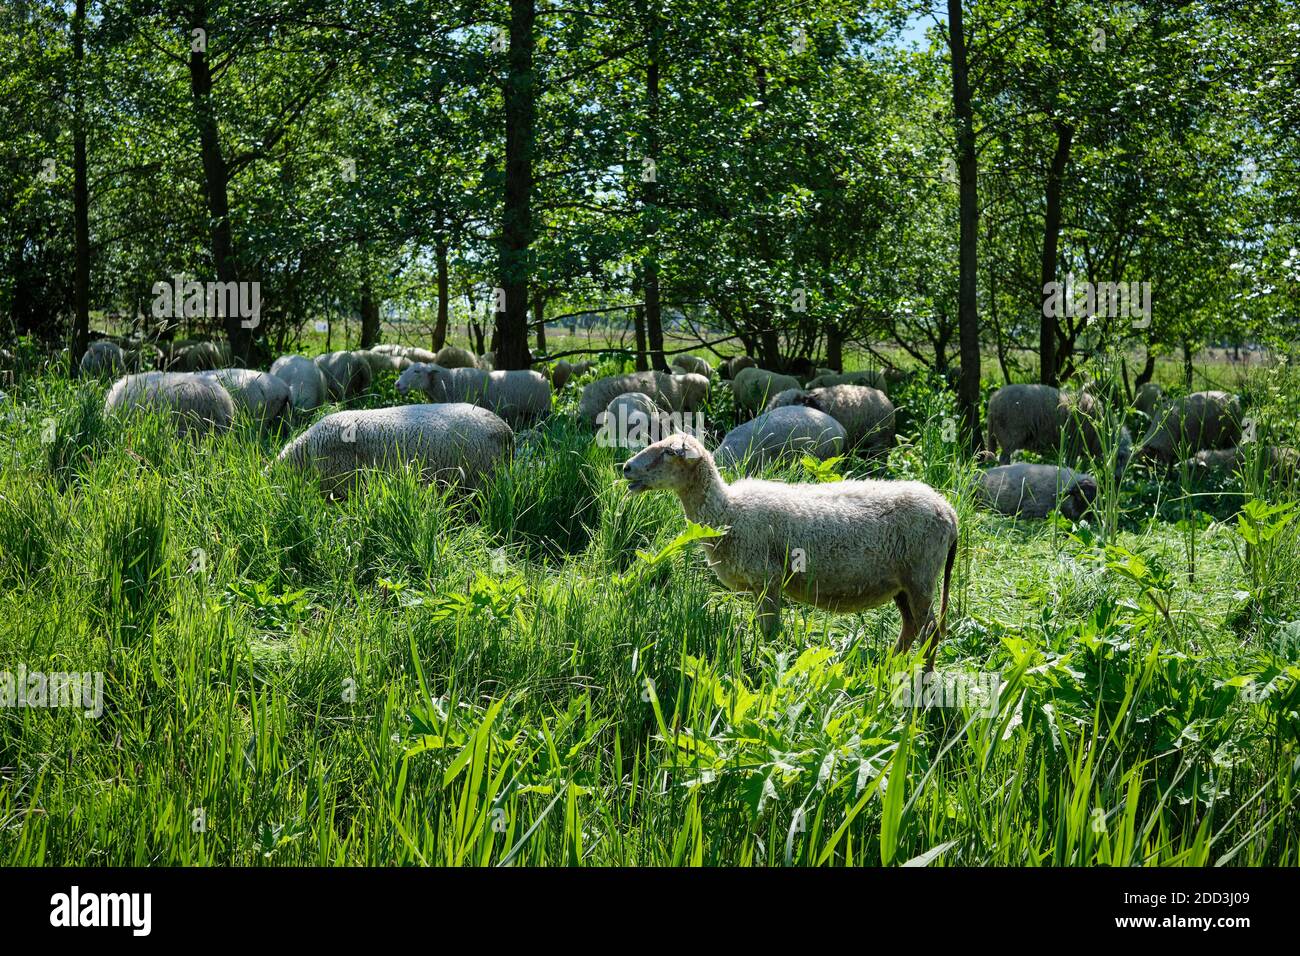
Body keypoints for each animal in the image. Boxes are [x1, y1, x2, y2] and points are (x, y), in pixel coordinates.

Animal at [622, 432, 959, 664]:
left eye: (668, 452)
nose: (625, 468)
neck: (728, 512)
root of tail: (948, 510)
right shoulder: (759, 586)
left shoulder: (767, 579)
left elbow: (771, 632)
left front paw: (769, 663)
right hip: (903, 583)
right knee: (912, 628)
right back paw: (890, 667)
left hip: (921, 576)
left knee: (930, 632)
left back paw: (920, 681)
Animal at [986, 383, 1131, 472]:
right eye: (1120, 458)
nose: (1117, 480)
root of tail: (993, 401)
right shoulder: (1074, 444)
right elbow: (1071, 463)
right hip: (1010, 435)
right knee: (1003, 458)